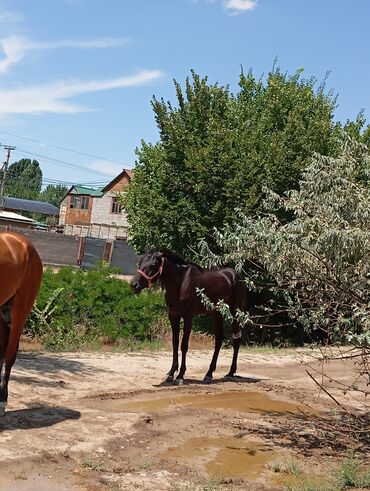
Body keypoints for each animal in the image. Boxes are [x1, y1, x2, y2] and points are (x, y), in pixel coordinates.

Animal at [132, 252, 247, 386]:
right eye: (140, 262)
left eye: (153, 264)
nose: (134, 285)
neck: (180, 283)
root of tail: (237, 276)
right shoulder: (173, 316)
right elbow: (175, 343)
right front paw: (171, 374)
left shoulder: (188, 317)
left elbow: (184, 345)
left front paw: (180, 376)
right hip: (218, 313)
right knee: (219, 340)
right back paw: (209, 374)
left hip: (235, 312)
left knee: (236, 339)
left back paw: (231, 373)